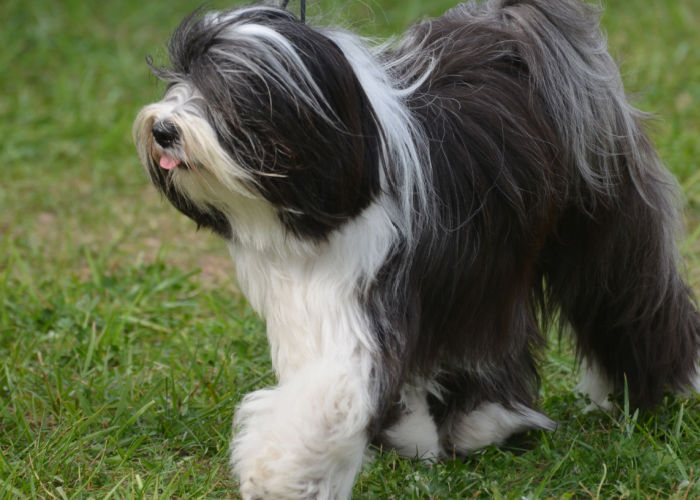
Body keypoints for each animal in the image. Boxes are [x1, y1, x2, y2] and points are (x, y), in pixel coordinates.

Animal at [133, 0, 700, 496]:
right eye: (178, 78)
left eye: (227, 92)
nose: (162, 129)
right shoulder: (315, 302)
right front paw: (406, 438)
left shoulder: (371, 293)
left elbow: (332, 391)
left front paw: (280, 473)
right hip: (490, 265)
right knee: (489, 341)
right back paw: (483, 420)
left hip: (600, 226)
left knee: (630, 300)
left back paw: (664, 387)